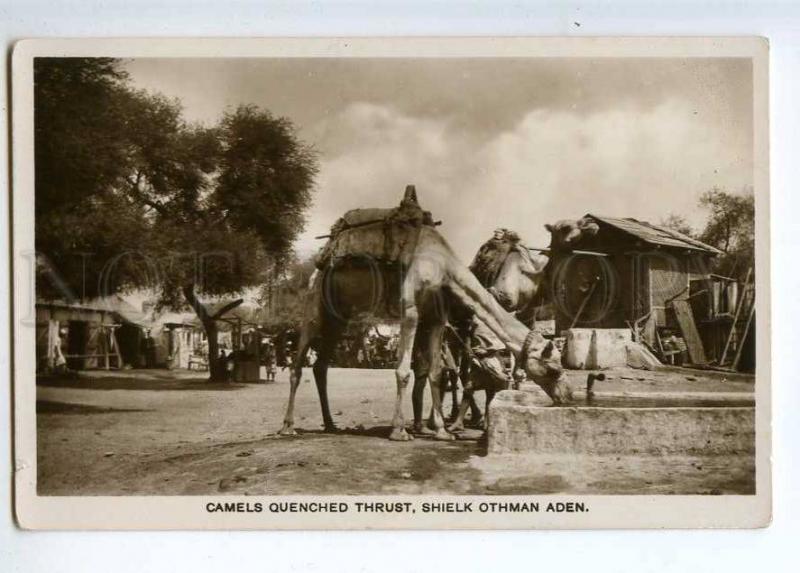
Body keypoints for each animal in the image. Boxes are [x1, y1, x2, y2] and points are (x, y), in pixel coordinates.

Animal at [278, 194, 572, 440]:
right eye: (554, 368)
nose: (567, 396)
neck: (443, 266)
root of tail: (317, 267)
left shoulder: (437, 319)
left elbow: (435, 372)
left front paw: (442, 431)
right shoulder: (410, 312)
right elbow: (403, 371)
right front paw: (399, 431)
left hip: (339, 316)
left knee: (321, 366)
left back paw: (330, 424)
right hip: (315, 305)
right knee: (297, 364)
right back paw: (288, 426)